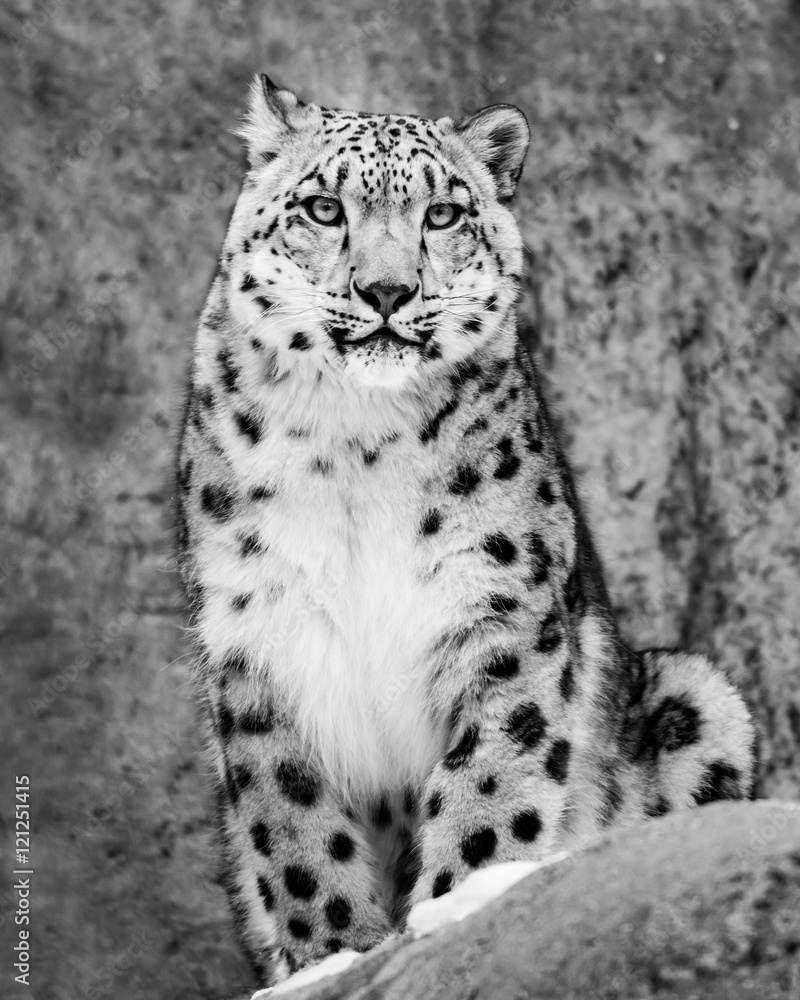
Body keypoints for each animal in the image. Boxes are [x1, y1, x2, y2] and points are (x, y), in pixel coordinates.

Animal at [175, 74, 757, 989]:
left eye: (442, 214)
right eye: (323, 207)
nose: (386, 291)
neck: (356, 446)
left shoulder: (502, 614)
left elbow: (491, 783)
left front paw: (454, 911)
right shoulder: (259, 635)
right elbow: (296, 831)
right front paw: (333, 958)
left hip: (699, 695)